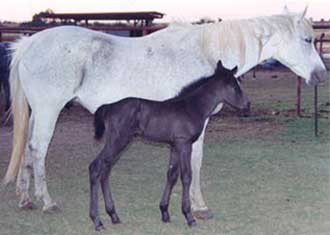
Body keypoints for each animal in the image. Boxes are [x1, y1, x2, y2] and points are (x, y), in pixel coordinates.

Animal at [89, 60, 249, 229]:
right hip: (118, 141)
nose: (247, 105)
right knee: (95, 167)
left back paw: (113, 215)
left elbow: (171, 175)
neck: (191, 107)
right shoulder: (184, 144)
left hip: (118, 143)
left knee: (105, 171)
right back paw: (97, 221)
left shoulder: (174, 146)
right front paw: (189, 217)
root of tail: (108, 107)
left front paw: (164, 212)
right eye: (233, 86)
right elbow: (186, 176)